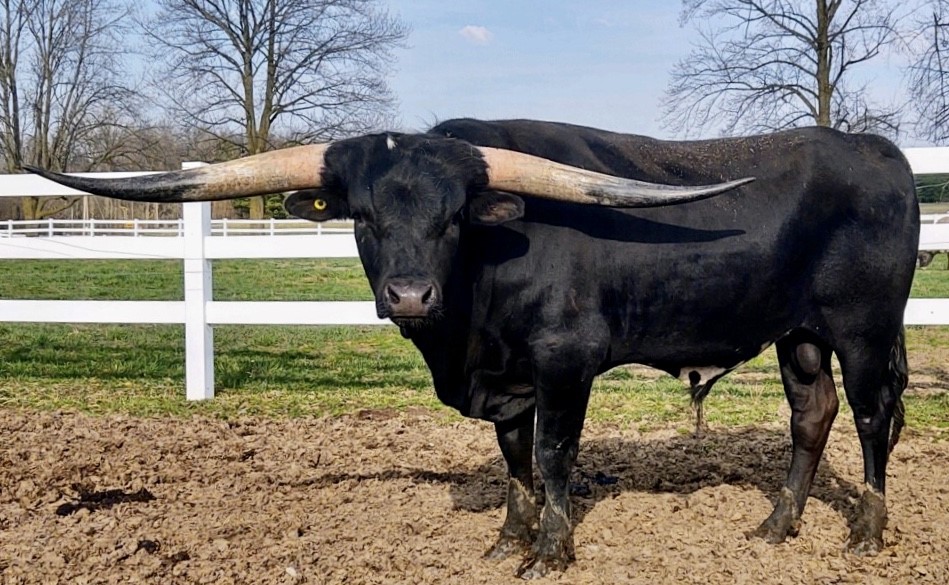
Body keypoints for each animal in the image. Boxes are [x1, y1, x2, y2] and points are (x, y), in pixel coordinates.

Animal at [26, 118, 918, 578]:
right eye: (363, 216)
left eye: (455, 215)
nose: (409, 296)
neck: (465, 333)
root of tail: (879, 149)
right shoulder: (505, 381)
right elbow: (512, 459)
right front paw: (507, 537)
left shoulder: (563, 363)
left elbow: (553, 457)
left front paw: (551, 548)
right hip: (798, 334)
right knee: (811, 414)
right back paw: (776, 524)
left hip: (862, 330)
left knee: (871, 418)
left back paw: (868, 530)